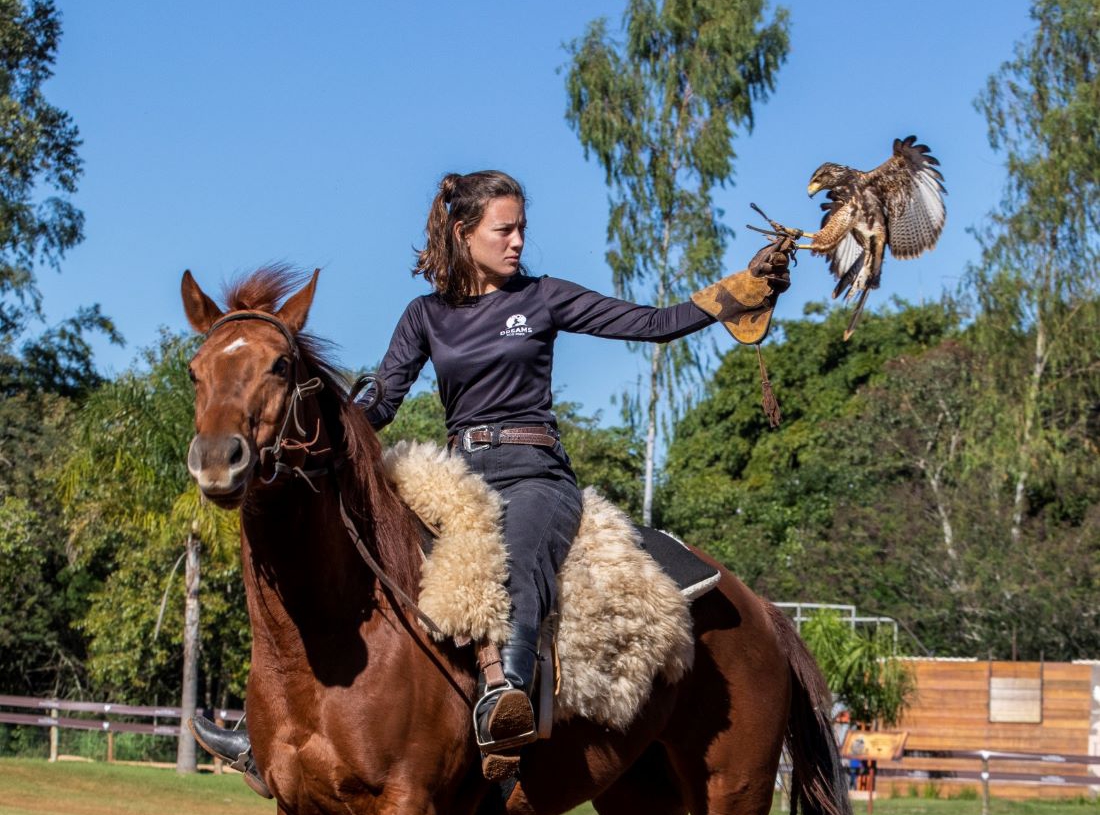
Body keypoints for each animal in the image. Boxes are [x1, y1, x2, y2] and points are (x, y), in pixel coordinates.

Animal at [180, 263, 849, 809]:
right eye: (195, 371)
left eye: (281, 365)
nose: (217, 459)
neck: (324, 648)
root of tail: (762, 610)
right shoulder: (299, 803)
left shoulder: (409, 799)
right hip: (638, 789)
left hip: (734, 788)